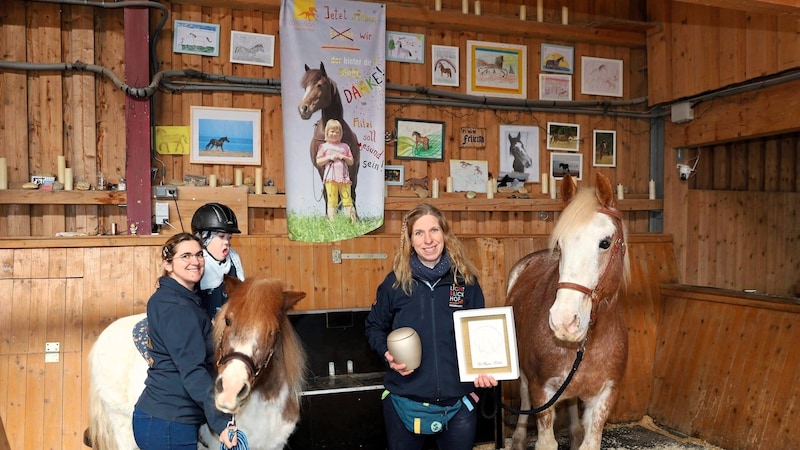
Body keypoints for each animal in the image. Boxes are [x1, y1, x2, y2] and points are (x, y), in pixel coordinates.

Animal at [506, 173, 632, 450]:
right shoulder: (541, 389)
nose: (564, 322)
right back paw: (518, 438)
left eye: (605, 243)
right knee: (523, 397)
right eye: (560, 246)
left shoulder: (606, 395)